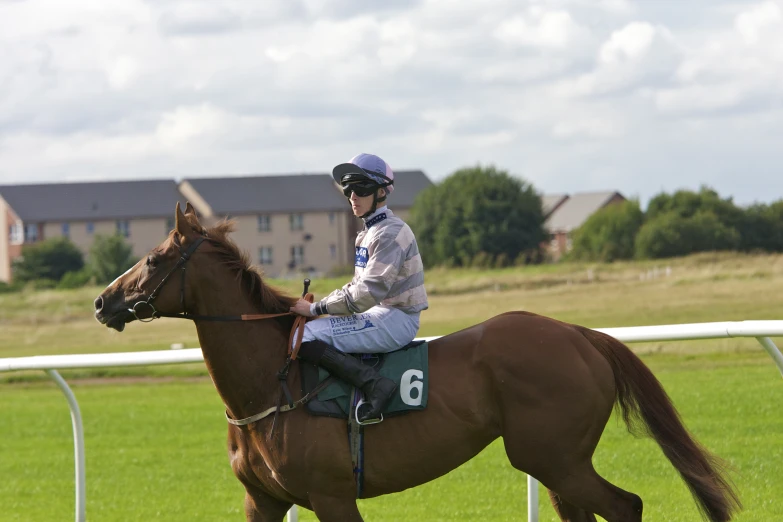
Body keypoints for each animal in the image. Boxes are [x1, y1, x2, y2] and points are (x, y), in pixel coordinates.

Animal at [93, 203, 740, 520]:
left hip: (553, 458)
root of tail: (582, 335)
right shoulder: (265, 501)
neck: (270, 387)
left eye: (153, 259)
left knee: (626, 507)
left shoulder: (332, 497)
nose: (102, 301)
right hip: (556, 463)